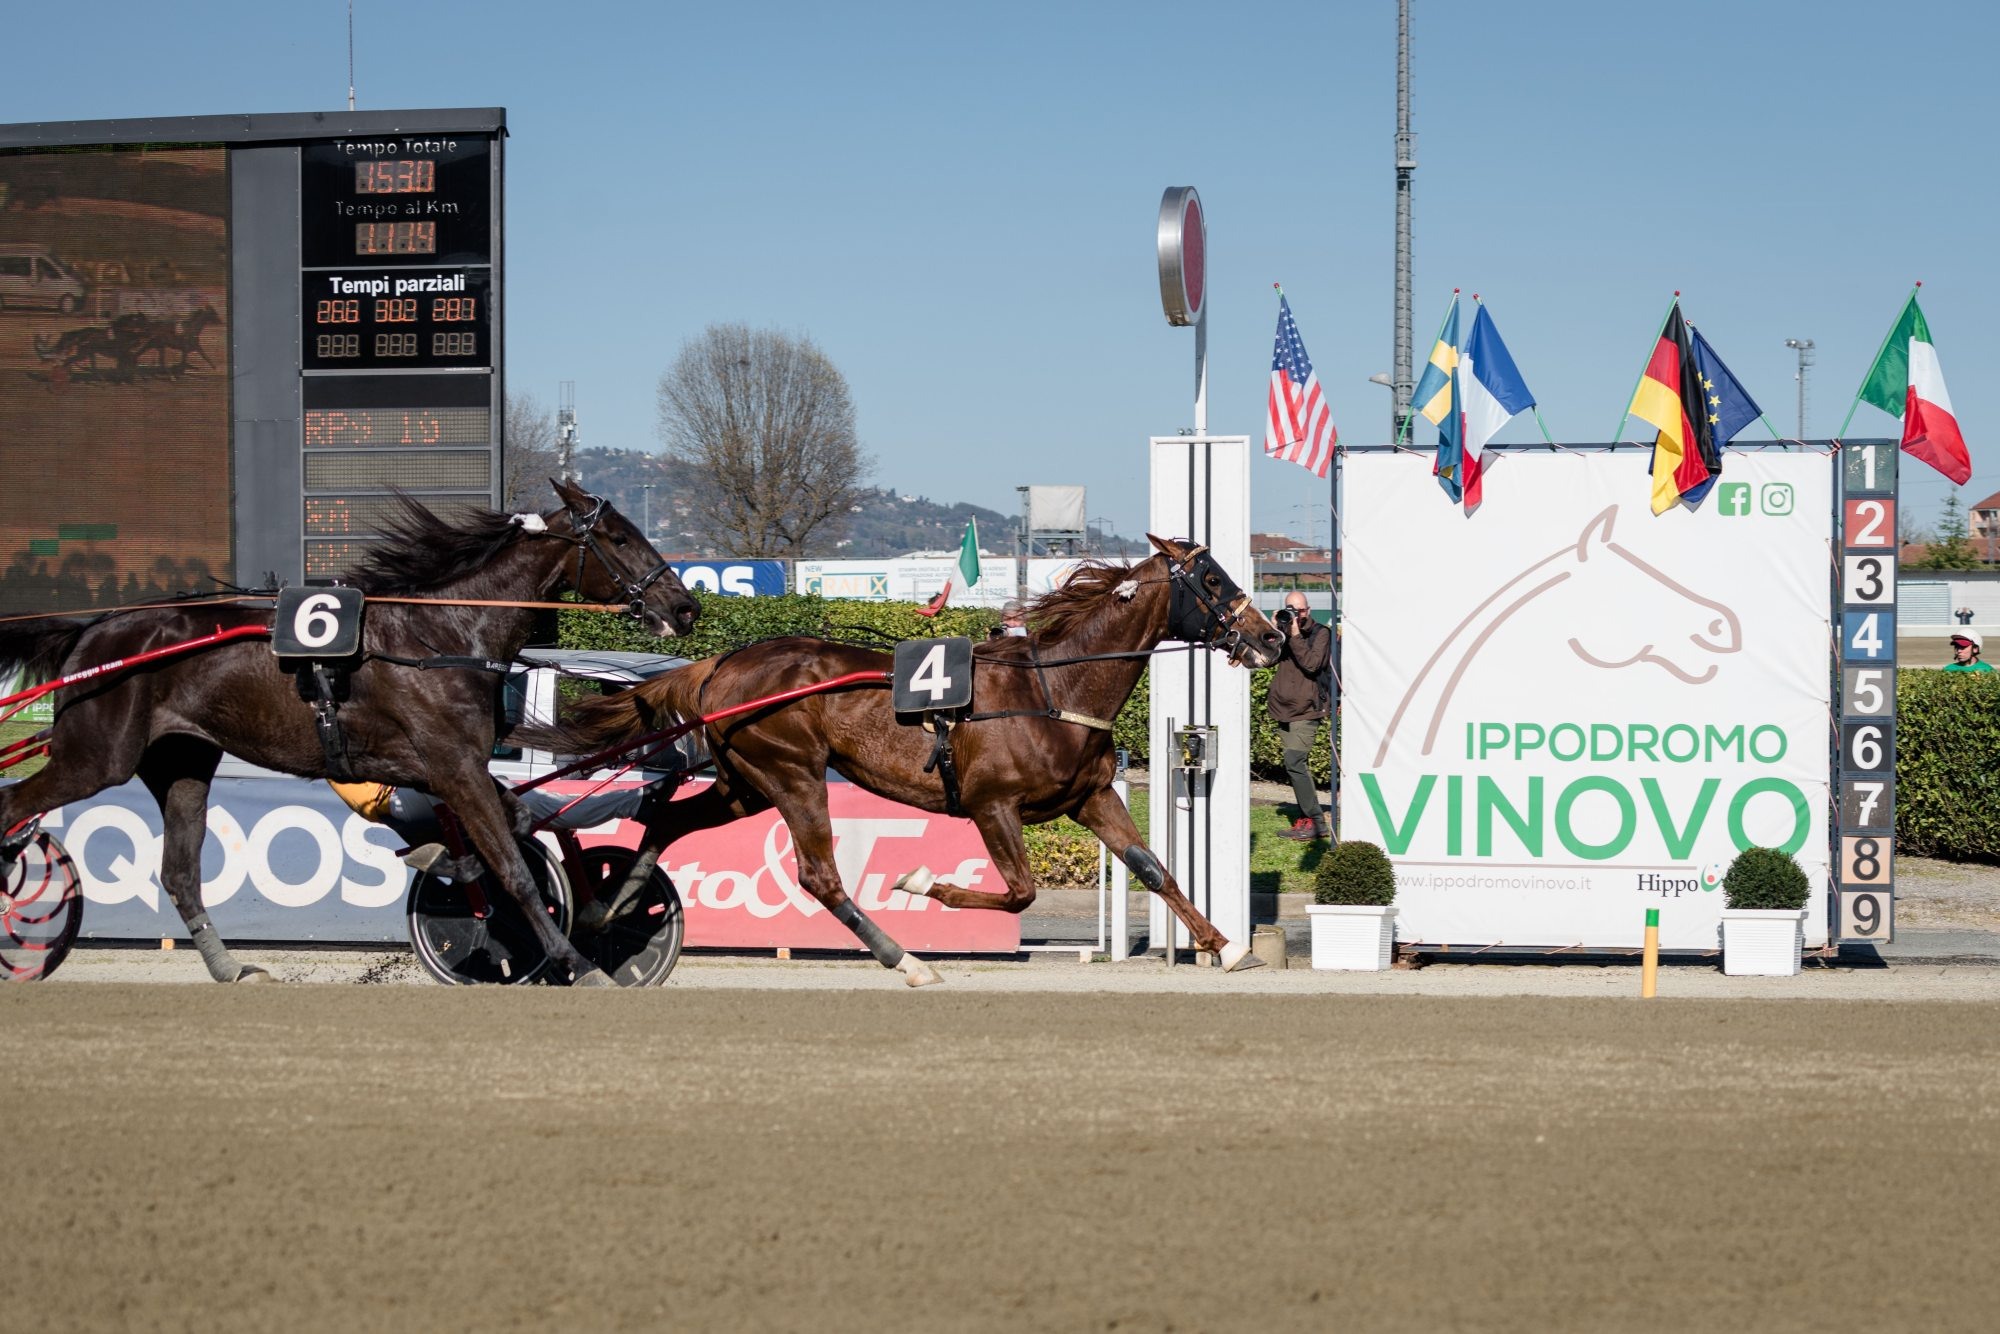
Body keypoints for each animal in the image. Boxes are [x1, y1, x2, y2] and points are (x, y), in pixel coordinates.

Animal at [0, 480, 700, 980]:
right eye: (619, 537)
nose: (686, 606)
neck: (444, 636)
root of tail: (94, 629)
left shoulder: (449, 772)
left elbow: (528, 824)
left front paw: (589, 909)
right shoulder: (455, 768)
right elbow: (513, 867)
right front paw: (575, 962)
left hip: (182, 762)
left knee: (178, 871)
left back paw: (230, 969)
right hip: (98, 756)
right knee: (14, 806)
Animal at [520, 536, 1280, 988]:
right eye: (1212, 578)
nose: (1273, 636)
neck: (1052, 690)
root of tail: (721, 662)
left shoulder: (1091, 797)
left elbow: (1153, 867)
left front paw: (1225, 945)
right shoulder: (991, 805)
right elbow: (1020, 892)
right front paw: (921, 883)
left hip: (746, 783)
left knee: (666, 819)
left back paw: (607, 911)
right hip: (793, 774)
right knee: (819, 875)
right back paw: (905, 958)